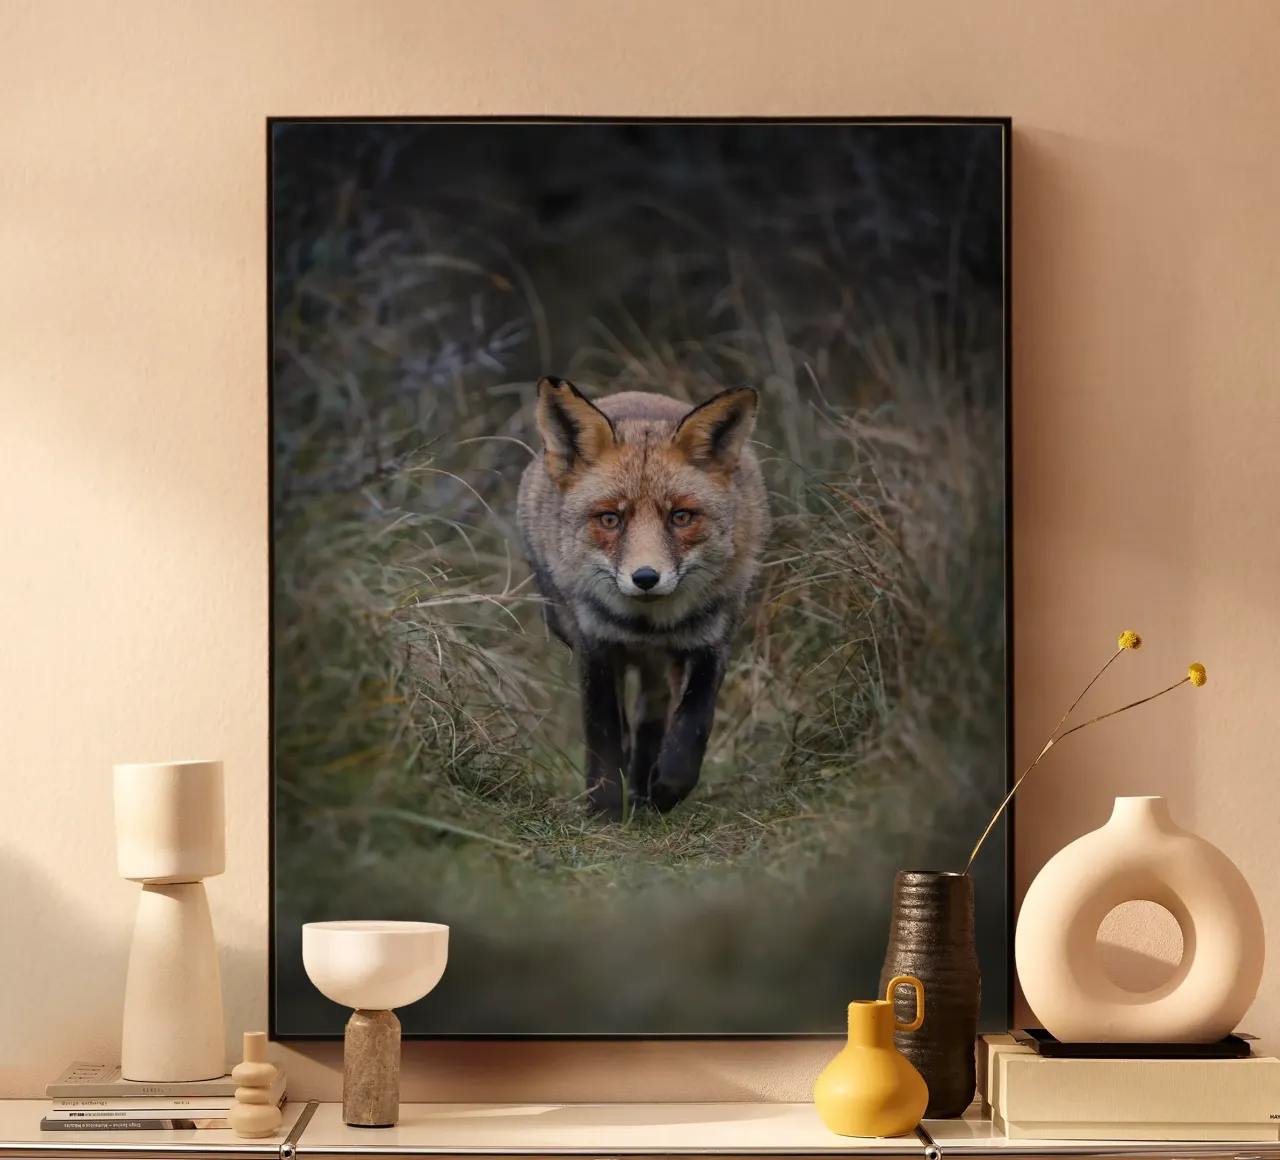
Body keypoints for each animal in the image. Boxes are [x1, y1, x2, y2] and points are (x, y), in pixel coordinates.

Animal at [516, 376, 769, 820]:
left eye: (681, 517)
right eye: (610, 519)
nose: (646, 578)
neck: (648, 625)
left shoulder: (712, 640)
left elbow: (693, 725)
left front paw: (667, 787)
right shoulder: (595, 644)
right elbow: (603, 733)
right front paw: (604, 809)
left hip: (662, 663)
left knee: (651, 715)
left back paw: (643, 787)